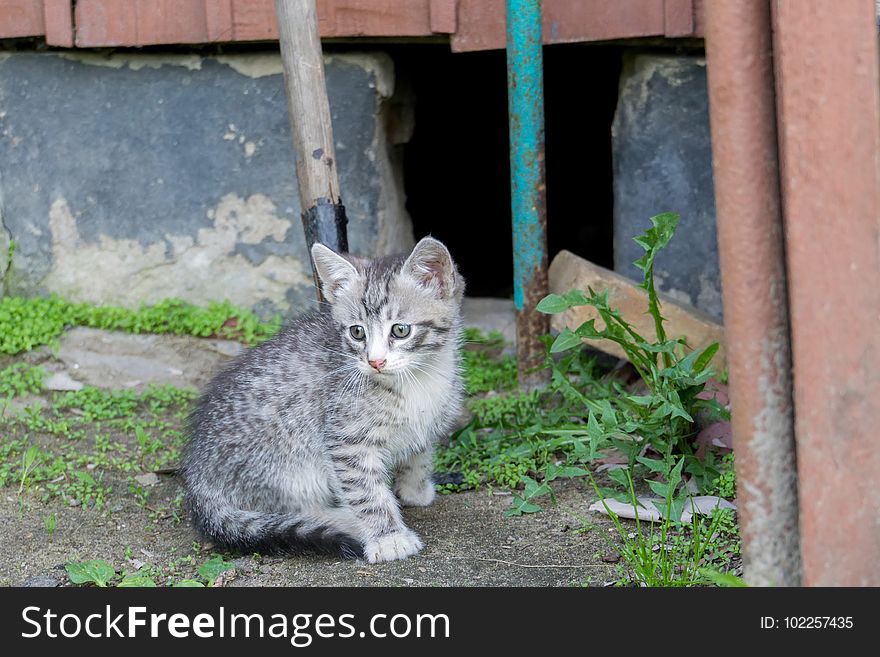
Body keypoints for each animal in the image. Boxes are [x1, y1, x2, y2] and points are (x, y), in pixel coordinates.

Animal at [182, 238, 464, 560]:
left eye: (400, 330)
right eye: (357, 332)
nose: (375, 361)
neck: (418, 378)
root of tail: (197, 476)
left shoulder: (426, 423)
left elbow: (419, 453)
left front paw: (415, 489)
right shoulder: (347, 441)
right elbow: (366, 492)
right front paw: (388, 537)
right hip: (288, 462)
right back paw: (344, 520)